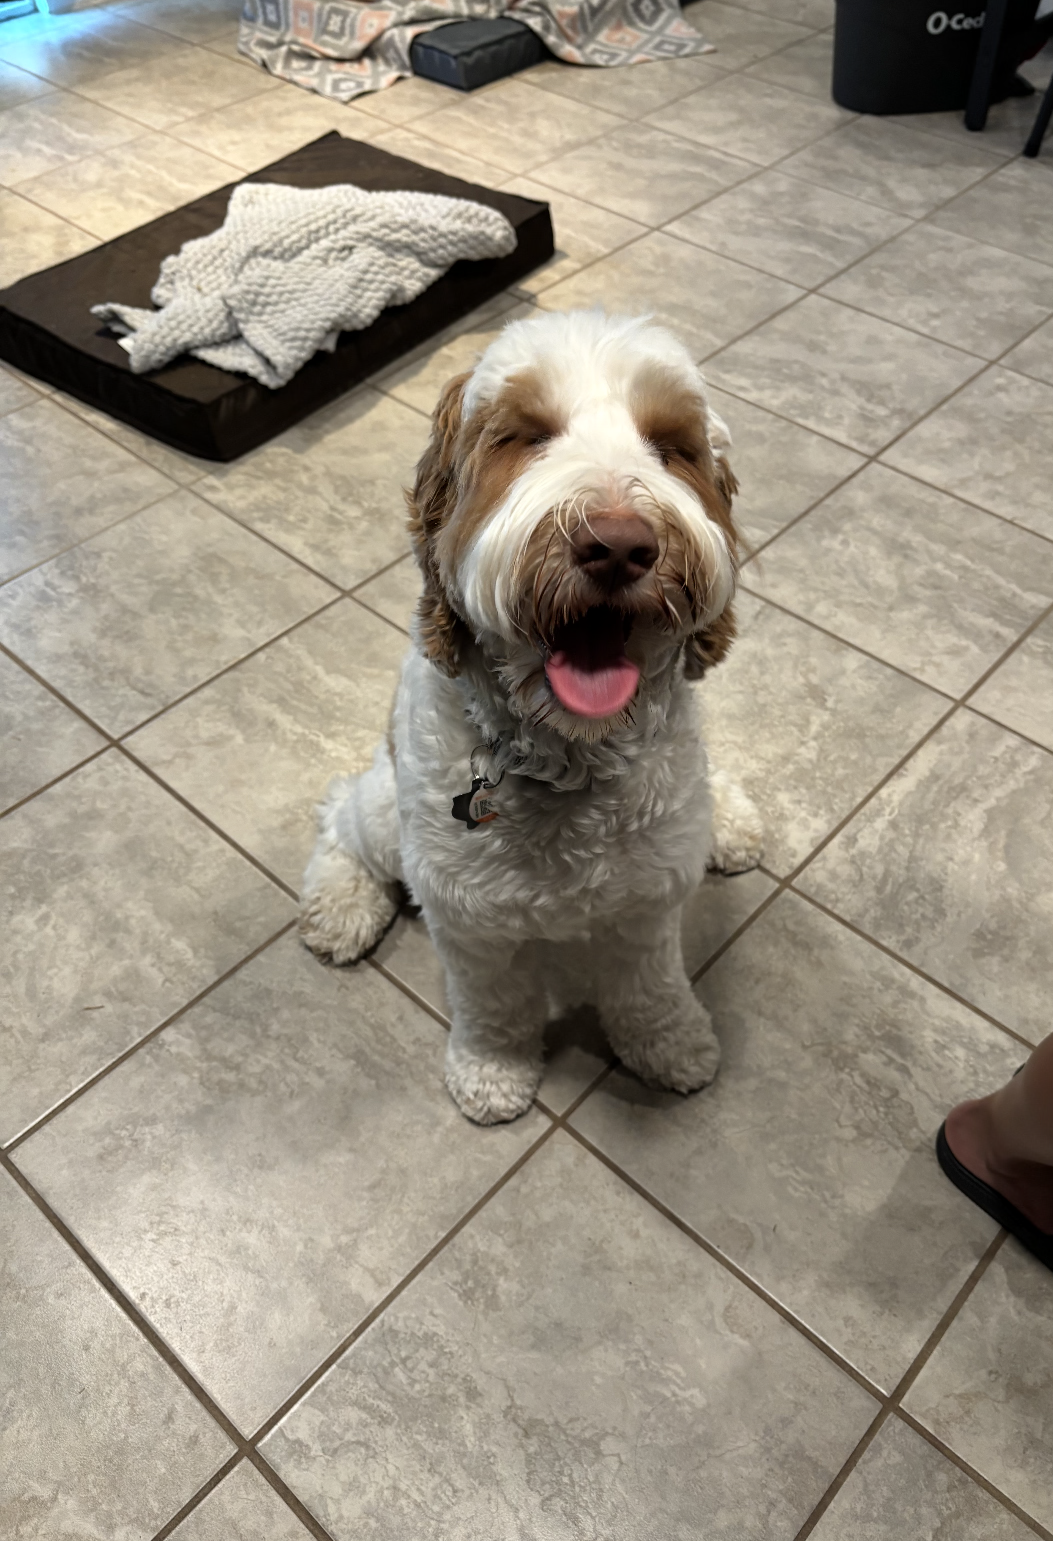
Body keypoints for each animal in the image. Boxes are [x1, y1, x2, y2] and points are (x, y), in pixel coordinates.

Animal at [299, 309, 763, 1124]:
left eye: (670, 447)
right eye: (525, 435)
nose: (618, 544)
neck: (568, 757)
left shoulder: (650, 901)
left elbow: (650, 987)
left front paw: (671, 1044)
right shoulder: (467, 918)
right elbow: (494, 1005)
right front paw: (492, 1071)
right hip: (387, 813)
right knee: (340, 817)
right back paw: (341, 908)